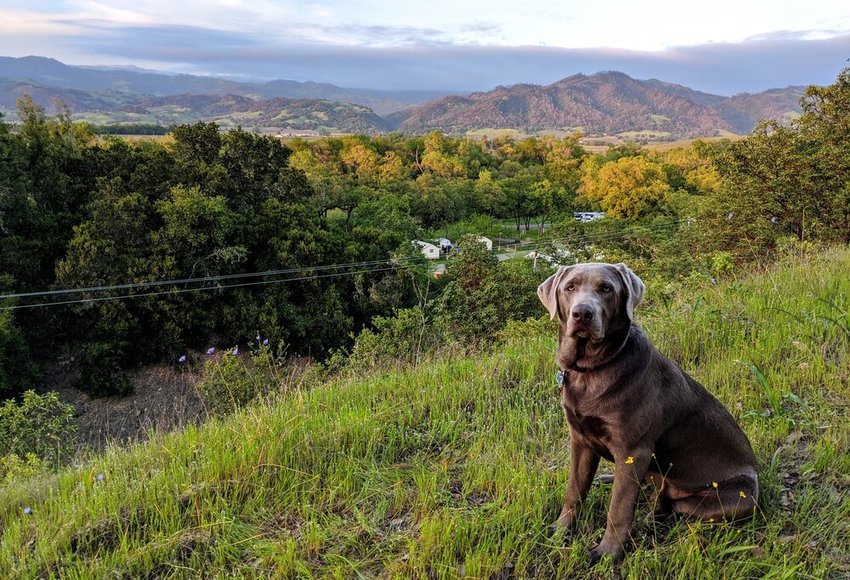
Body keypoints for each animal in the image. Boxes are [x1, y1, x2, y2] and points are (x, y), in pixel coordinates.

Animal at [536, 262, 756, 560]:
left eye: (606, 289)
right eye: (570, 287)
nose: (582, 314)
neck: (592, 371)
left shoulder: (633, 451)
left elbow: (618, 509)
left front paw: (607, 554)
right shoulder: (580, 441)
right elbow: (574, 491)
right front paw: (559, 531)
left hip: (729, 500)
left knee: (667, 506)